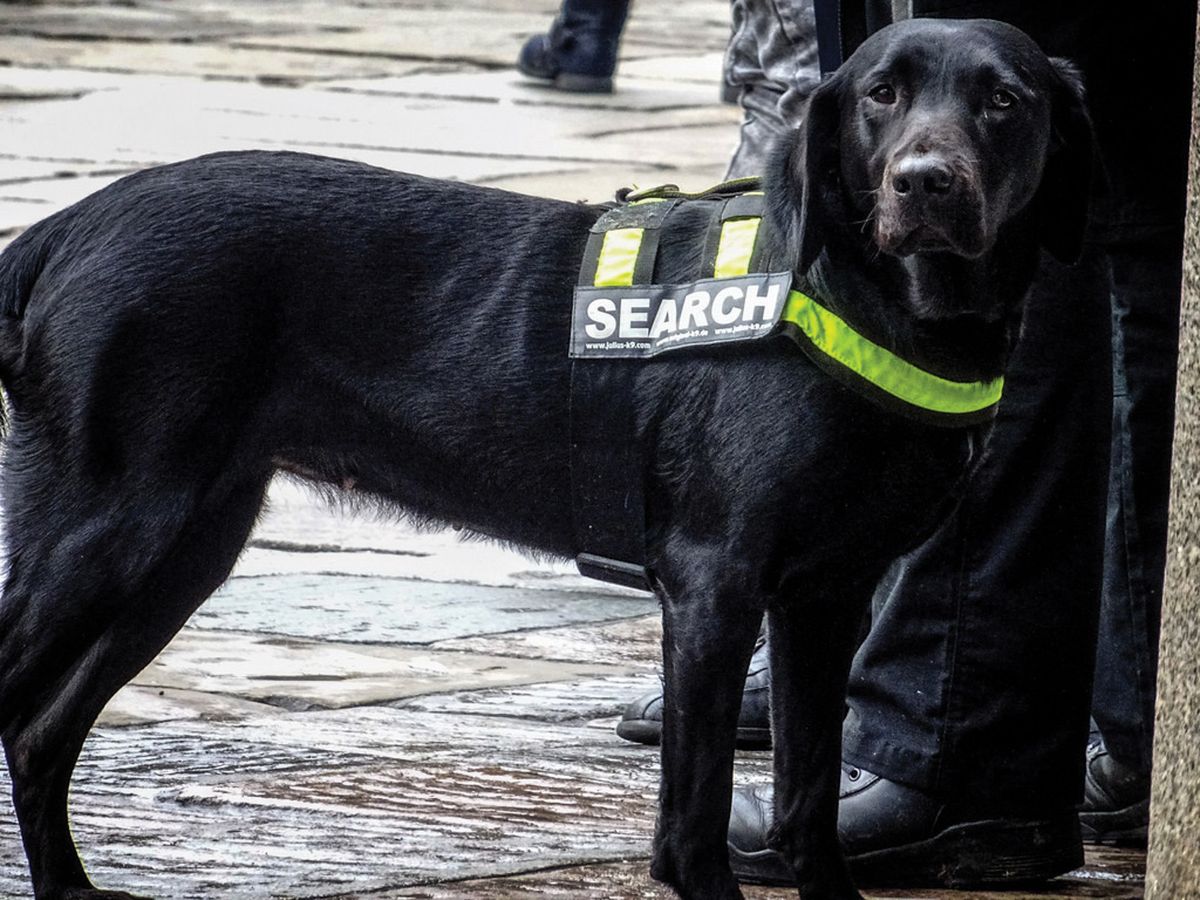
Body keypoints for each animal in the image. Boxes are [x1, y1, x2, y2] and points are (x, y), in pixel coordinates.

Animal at [0, 15, 1089, 900]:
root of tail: (66, 225)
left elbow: (806, 806)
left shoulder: (822, 601)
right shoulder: (715, 588)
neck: (870, 300)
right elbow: (694, 823)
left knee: (39, 733)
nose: (924, 182)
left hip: (183, 549)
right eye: (880, 95)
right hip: (107, 530)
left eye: (1004, 100)